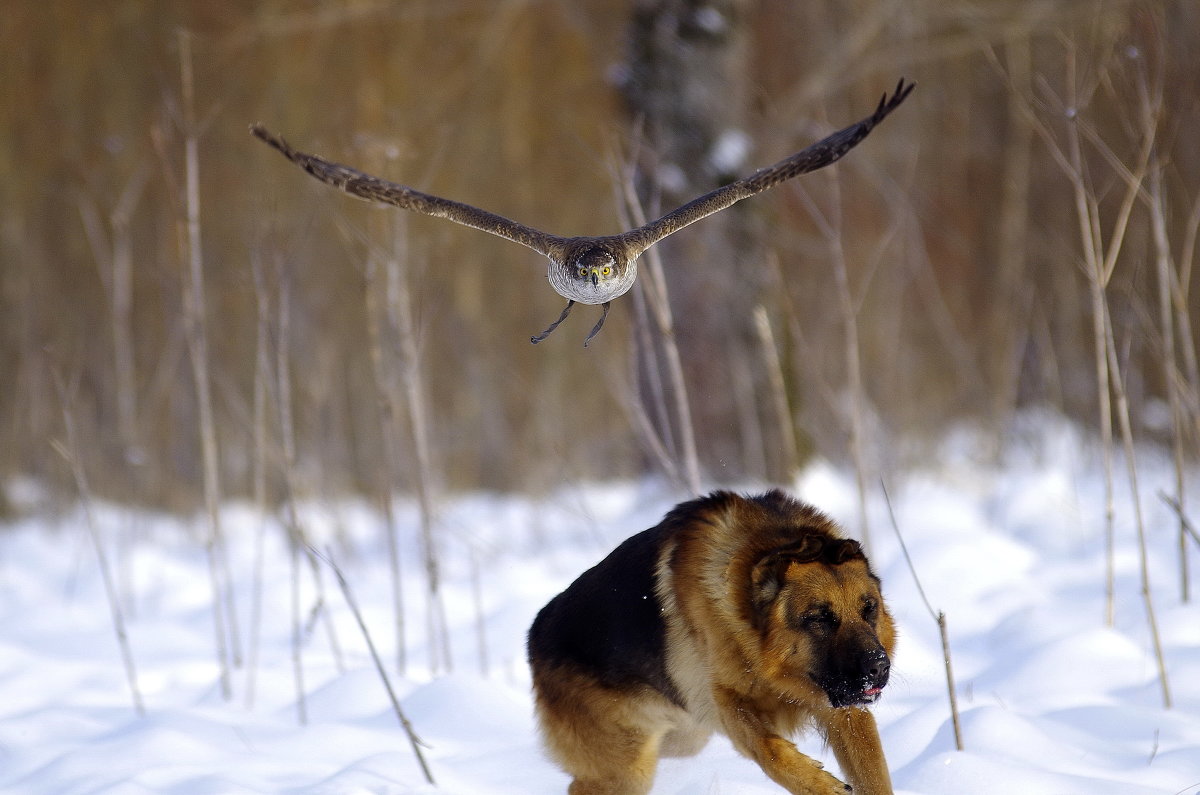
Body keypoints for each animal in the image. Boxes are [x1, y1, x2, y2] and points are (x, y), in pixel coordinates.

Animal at [525, 492, 892, 795]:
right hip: (627, 769)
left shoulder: (845, 708)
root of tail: (536, 631)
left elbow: (872, 775)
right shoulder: (727, 699)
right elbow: (769, 750)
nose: (879, 667)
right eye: (819, 619)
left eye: (869, 609)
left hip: (678, 737)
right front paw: (819, 783)